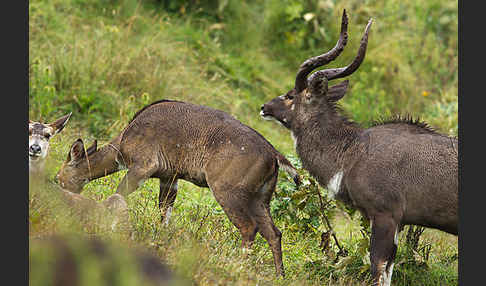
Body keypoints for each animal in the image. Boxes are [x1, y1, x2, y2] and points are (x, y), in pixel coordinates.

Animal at [56, 99, 300, 276]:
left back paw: (238, 266)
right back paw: (279, 275)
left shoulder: (144, 166)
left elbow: (119, 193)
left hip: (227, 190)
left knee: (249, 227)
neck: (122, 145)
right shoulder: (169, 177)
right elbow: (165, 212)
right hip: (261, 197)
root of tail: (274, 155)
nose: (59, 188)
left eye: (60, 177)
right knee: (274, 232)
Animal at [260, 9, 458, 286]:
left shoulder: (385, 214)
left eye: (290, 95)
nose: (264, 107)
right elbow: (387, 270)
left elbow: (378, 267)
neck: (353, 151)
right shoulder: (397, 222)